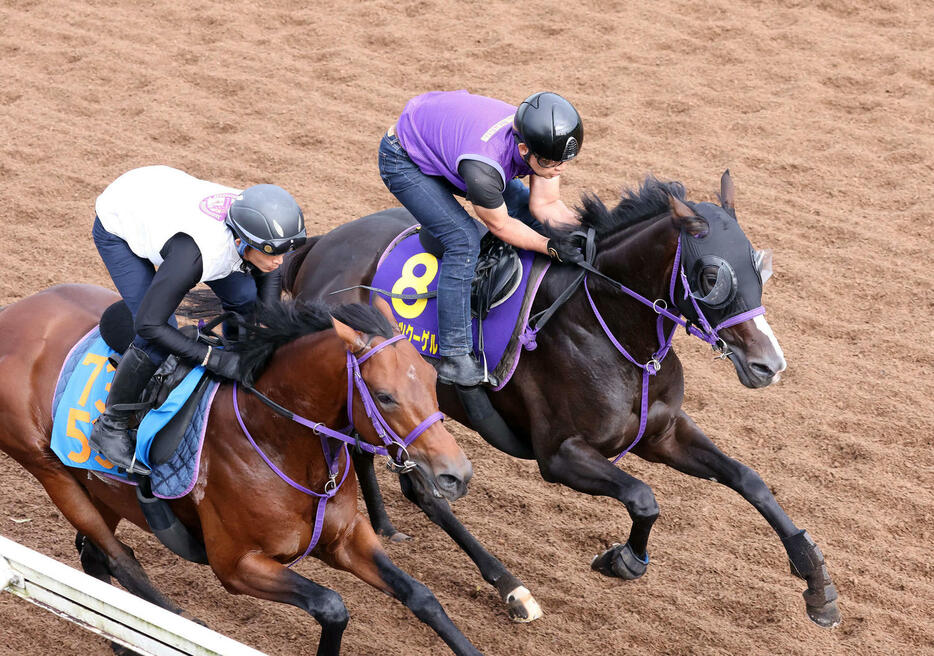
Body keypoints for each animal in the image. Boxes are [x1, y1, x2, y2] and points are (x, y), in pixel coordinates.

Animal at [0, 284, 482, 656]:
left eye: (431, 379)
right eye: (384, 396)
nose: (456, 475)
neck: (276, 439)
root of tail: (15, 315)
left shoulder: (345, 538)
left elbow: (421, 596)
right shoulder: (237, 565)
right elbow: (332, 605)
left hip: (100, 487)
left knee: (94, 557)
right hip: (51, 471)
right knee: (121, 559)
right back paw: (178, 621)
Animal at [284, 174, 840, 632]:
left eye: (760, 268)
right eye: (709, 277)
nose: (769, 365)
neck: (607, 326)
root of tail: (320, 247)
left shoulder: (662, 433)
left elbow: (749, 479)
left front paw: (817, 585)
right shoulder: (560, 456)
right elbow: (644, 497)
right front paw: (623, 560)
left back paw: (390, 526)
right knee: (420, 488)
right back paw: (511, 587)